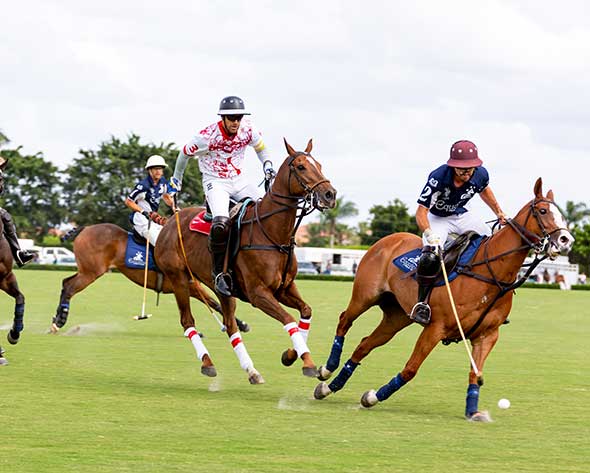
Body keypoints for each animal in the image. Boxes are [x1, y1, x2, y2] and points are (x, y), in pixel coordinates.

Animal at [51, 222, 231, 330]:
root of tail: (86, 228)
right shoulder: (187, 285)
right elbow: (214, 303)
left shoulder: (192, 286)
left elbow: (214, 303)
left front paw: (236, 324)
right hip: (91, 272)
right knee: (69, 287)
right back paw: (60, 321)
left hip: (85, 270)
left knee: (65, 282)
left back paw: (57, 318)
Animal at [154, 139, 338, 384]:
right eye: (300, 166)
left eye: (318, 164)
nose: (329, 194)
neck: (272, 234)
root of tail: (169, 221)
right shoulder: (258, 293)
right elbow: (288, 319)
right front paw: (307, 362)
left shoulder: (284, 288)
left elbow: (306, 311)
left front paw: (290, 356)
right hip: (179, 279)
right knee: (187, 321)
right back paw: (208, 363)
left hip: (220, 288)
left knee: (231, 324)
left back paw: (252, 370)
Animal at [316, 178, 576, 420]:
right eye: (542, 211)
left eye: (562, 216)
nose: (566, 240)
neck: (491, 273)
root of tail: (389, 239)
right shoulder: (436, 328)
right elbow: (410, 369)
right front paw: (372, 397)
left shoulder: (487, 335)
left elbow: (475, 374)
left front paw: (473, 412)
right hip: (365, 296)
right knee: (345, 320)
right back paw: (326, 371)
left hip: (397, 316)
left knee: (365, 344)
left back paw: (329, 387)